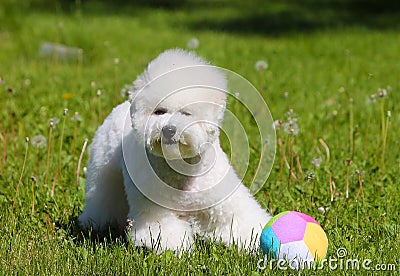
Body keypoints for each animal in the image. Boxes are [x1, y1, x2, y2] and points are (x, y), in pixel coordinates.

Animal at [79, 49, 272, 252]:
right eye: (159, 112)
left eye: (186, 113)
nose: (169, 130)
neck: (183, 171)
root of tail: (121, 107)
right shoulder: (156, 211)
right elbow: (163, 232)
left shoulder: (225, 203)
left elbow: (243, 222)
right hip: (103, 171)